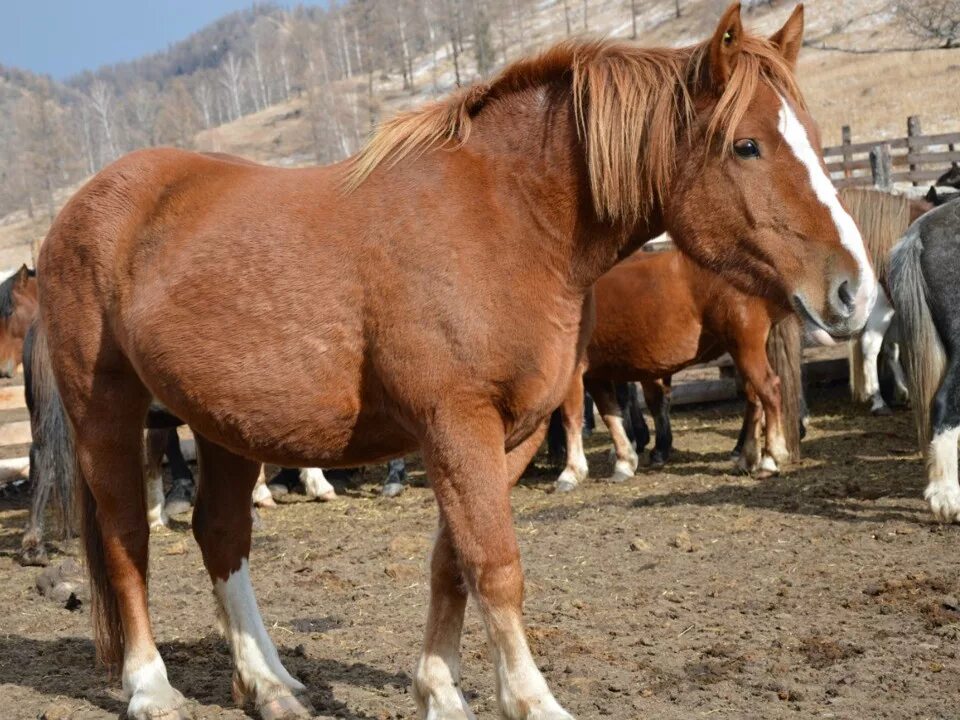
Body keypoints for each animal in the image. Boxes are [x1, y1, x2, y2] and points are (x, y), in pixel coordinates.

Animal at [552, 248, 800, 496]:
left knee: (769, 391)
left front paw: (571, 472)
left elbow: (571, 418)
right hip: (742, 350)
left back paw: (770, 460)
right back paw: (747, 459)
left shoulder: (574, 375)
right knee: (754, 399)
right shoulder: (595, 374)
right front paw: (624, 462)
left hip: (746, 347)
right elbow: (610, 414)